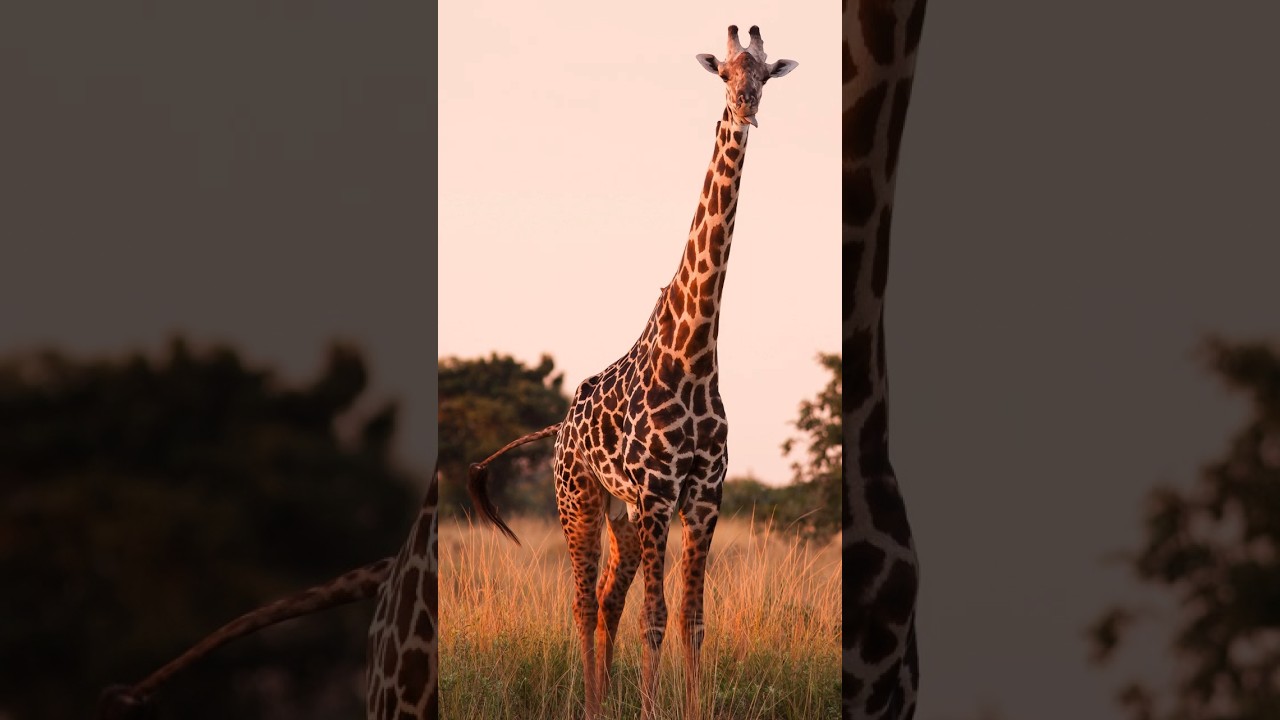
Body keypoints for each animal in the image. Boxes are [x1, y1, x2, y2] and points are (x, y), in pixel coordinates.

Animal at [466, 25, 797, 720]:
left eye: (763, 76)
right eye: (724, 74)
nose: (746, 109)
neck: (694, 355)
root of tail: (559, 429)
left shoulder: (703, 496)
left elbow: (693, 619)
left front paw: (691, 707)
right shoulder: (656, 494)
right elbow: (657, 616)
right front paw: (648, 708)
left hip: (619, 515)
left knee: (606, 602)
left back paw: (600, 701)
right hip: (580, 501)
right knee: (583, 602)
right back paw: (592, 703)